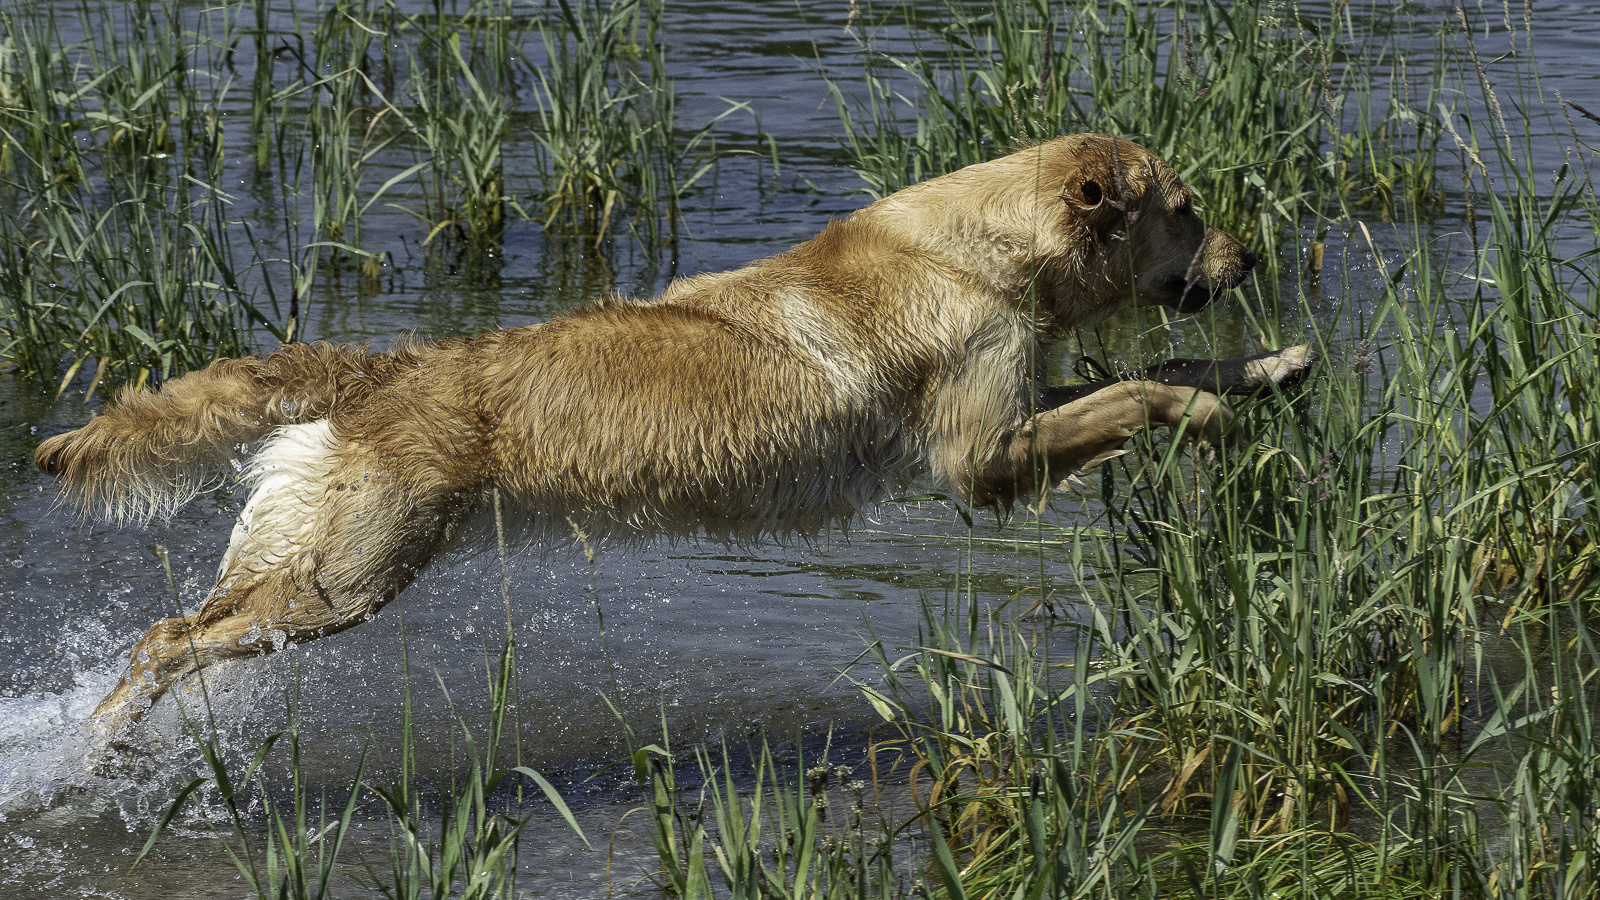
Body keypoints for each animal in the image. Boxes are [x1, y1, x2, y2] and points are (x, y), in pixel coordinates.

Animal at [34, 131, 1312, 736]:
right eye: (1187, 209)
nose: (1254, 257)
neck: (975, 248)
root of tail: (378, 366)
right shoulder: (982, 459)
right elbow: (1138, 391)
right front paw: (1209, 414)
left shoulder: (1018, 408)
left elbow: (1154, 362)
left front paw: (1269, 367)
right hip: (341, 580)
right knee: (162, 642)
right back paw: (94, 754)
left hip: (307, 565)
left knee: (183, 632)